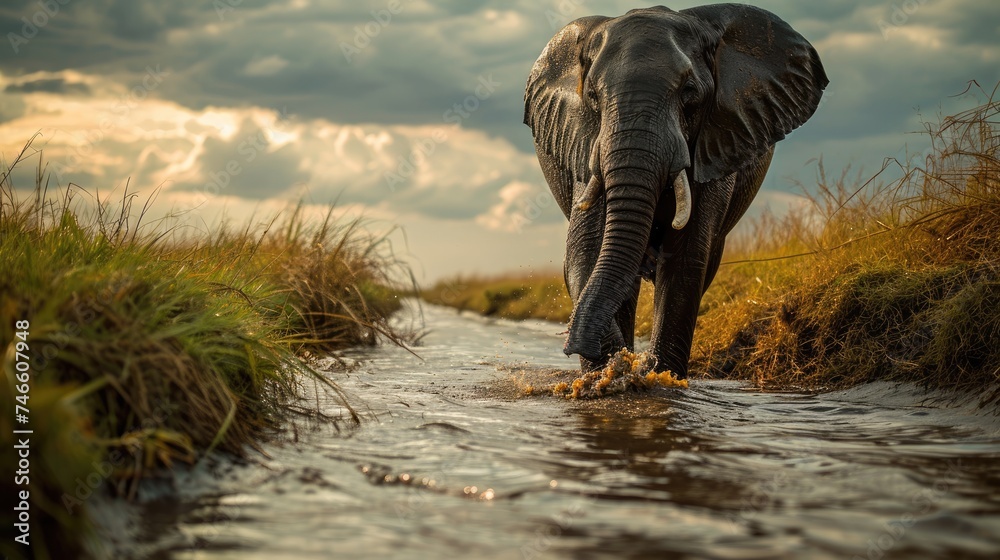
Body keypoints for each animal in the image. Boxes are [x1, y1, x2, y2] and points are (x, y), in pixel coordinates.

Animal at [523, 4, 827, 377]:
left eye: (690, 91)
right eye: (592, 95)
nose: (570, 347)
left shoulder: (718, 141)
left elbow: (684, 261)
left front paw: (654, 376)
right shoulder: (584, 142)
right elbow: (588, 251)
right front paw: (613, 372)